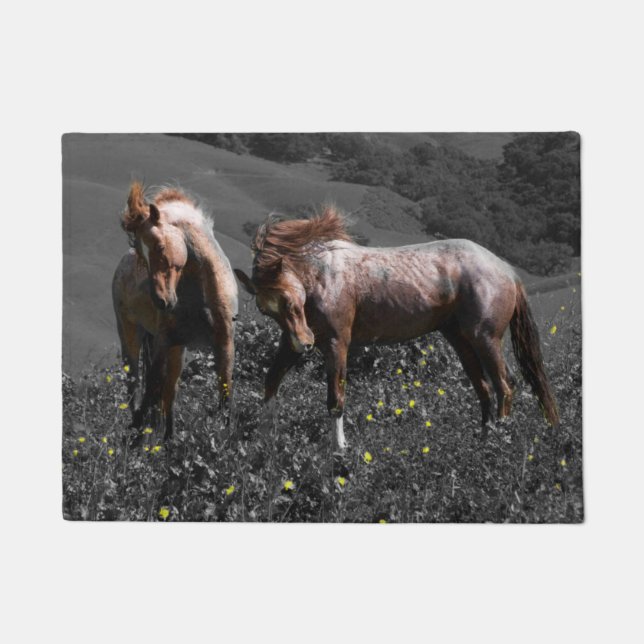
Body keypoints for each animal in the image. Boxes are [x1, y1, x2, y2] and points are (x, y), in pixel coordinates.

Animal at [112, 182, 238, 441]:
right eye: (141, 255)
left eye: (160, 247)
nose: (162, 301)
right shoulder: (163, 341)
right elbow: (151, 388)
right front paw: (137, 437)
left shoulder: (225, 344)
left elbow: (225, 393)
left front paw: (225, 438)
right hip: (131, 336)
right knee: (135, 386)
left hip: (178, 350)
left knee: (170, 391)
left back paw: (169, 438)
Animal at [234, 207, 559, 451]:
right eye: (265, 309)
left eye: (289, 300)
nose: (305, 344)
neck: (324, 275)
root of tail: (506, 269)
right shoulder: (292, 343)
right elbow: (271, 382)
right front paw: (262, 441)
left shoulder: (336, 343)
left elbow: (335, 399)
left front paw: (339, 449)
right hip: (461, 341)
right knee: (486, 389)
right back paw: (484, 439)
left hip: (485, 339)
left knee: (505, 386)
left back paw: (500, 440)